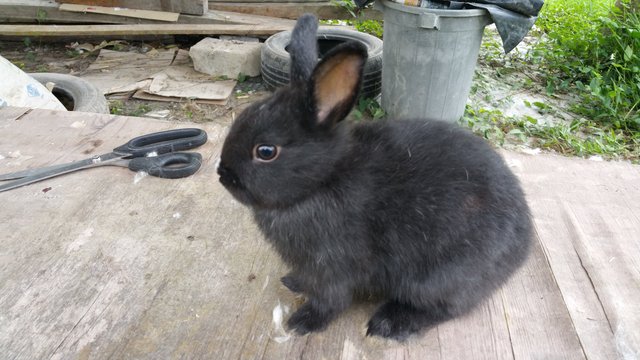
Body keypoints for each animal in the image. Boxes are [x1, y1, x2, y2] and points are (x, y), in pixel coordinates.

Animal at [218, 14, 532, 340]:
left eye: (266, 151)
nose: (223, 175)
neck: (324, 179)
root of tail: (523, 245)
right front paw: (294, 282)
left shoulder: (333, 266)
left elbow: (331, 300)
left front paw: (303, 322)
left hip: (438, 278)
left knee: (444, 308)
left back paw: (389, 323)